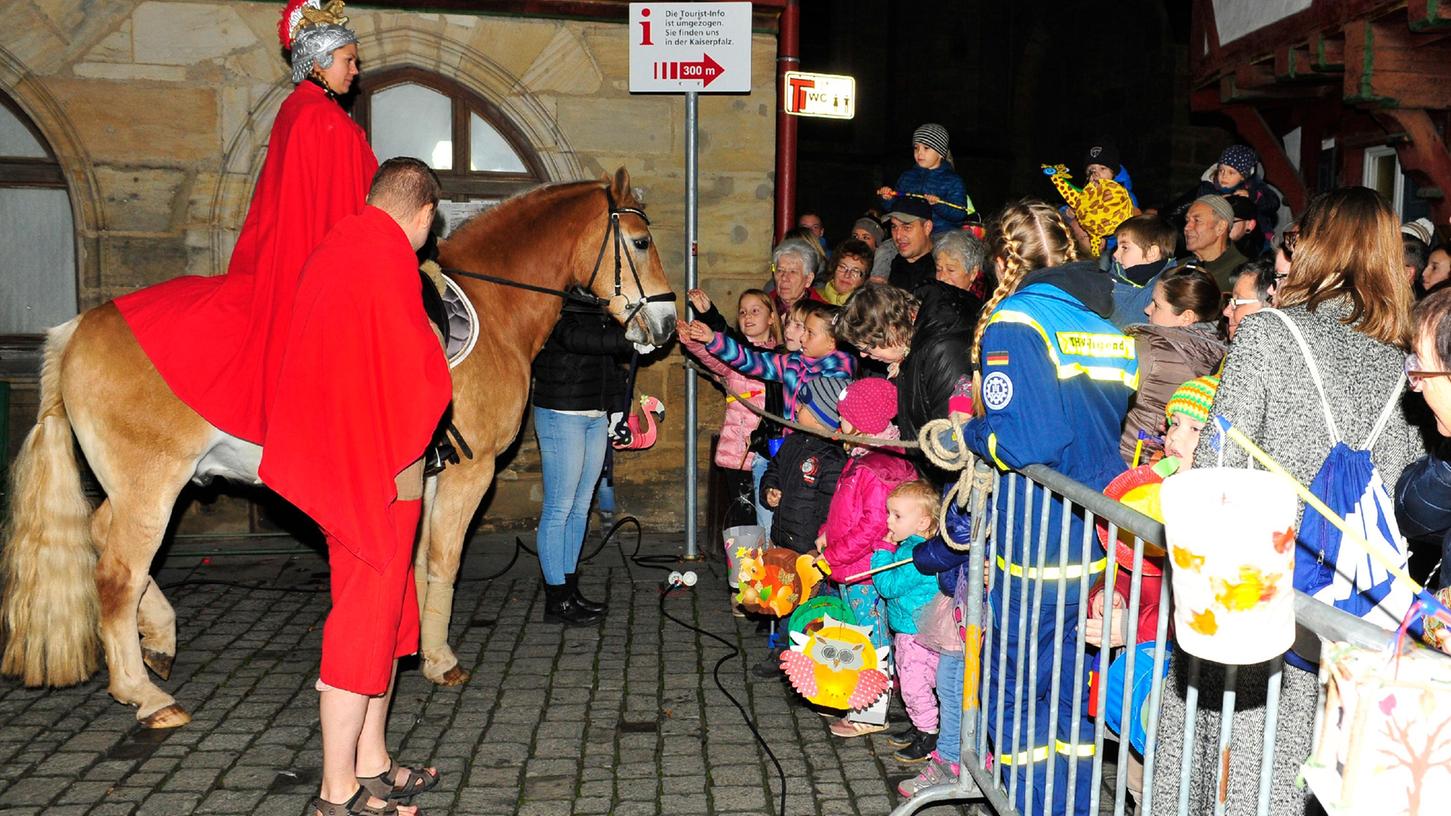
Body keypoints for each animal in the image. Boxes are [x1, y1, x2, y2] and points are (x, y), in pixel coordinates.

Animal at [1, 166, 673, 723]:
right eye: (641, 242)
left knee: (101, 540)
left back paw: (159, 637)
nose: (665, 326)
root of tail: (76, 330)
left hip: (135, 485)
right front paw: (439, 661)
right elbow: (444, 561)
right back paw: (144, 694)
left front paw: (414, 648)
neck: (493, 307)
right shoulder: (470, 470)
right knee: (119, 572)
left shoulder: (429, 474)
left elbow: (420, 564)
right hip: (152, 485)